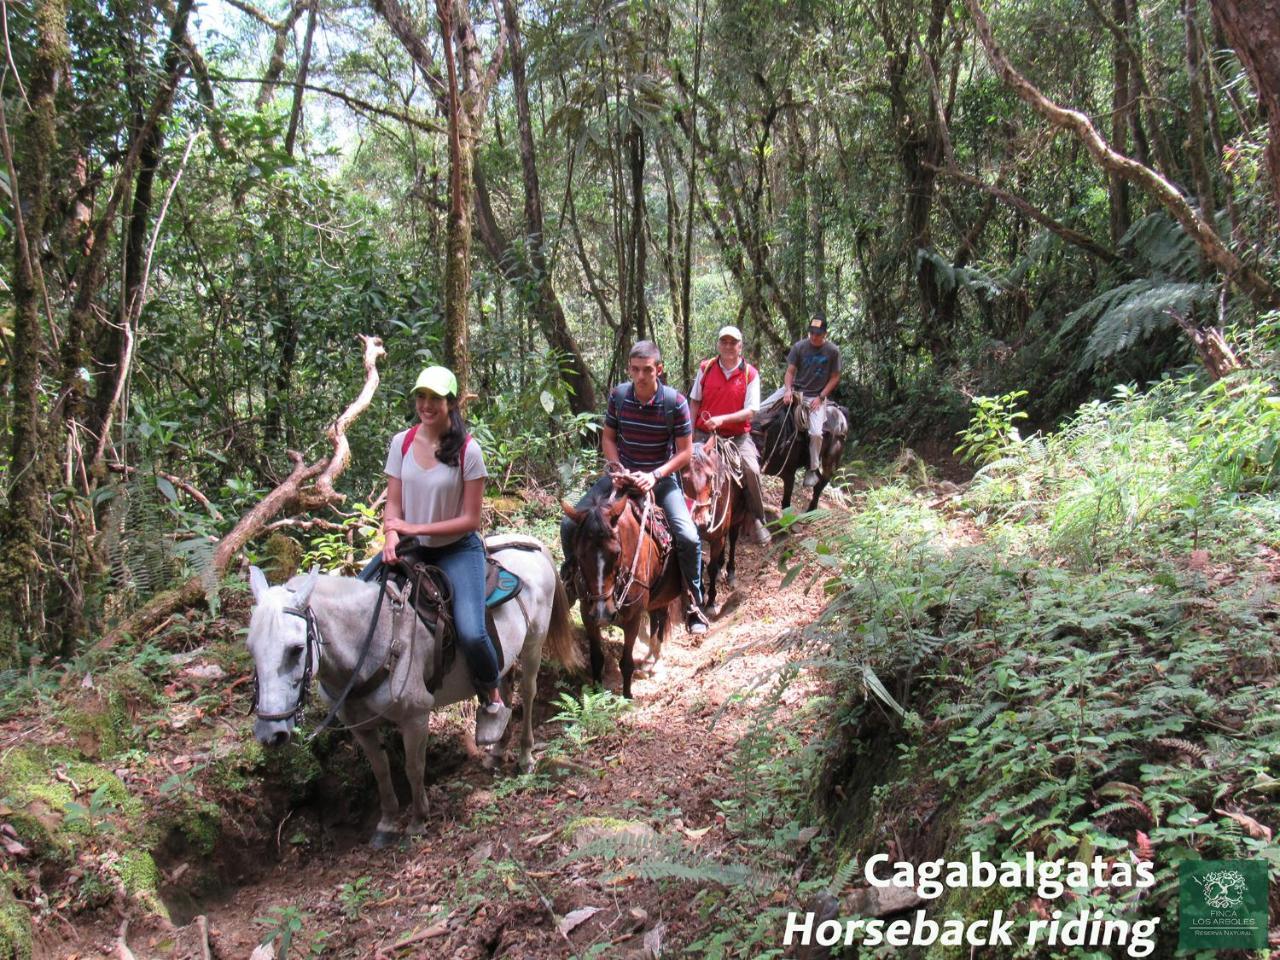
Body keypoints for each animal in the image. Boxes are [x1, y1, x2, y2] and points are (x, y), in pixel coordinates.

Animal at [243, 537, 581, 844]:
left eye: (296, 649)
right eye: (251, 649)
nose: (270, 733)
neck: (369, 642)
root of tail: (531, 544)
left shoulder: (415, 716)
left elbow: (413, 767)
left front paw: (418, 820)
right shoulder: (360, 726)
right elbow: (380, 769)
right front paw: (387, 823)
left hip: (534, 643)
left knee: (528, 692)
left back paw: (525, 757)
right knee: (504, 686)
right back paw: (496, 749)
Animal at [560, 488, 680, 701]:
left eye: (616, 553)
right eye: (580, 555)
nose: (603, 613)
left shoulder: (633, 619)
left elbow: (626, 662)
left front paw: (627, 698)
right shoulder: (587, 615)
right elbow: (596, 658)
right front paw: (597, 695)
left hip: (664, 594)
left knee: (662, 618)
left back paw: (657, 660)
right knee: (655, 618)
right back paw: (650, 656)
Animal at [686, 435, 747, 616]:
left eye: (710, 477)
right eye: (685, 478)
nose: (700, 521)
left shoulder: (716, 537)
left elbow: (711, 568)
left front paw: (711, 602)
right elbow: (698, 564)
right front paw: (700, 598)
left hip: (738, 518)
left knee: (732, 539)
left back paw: (730, 571)